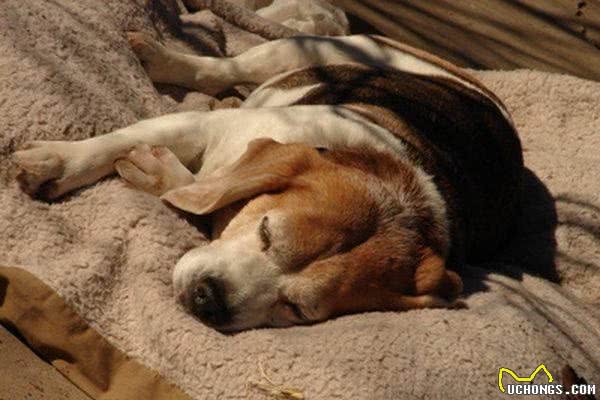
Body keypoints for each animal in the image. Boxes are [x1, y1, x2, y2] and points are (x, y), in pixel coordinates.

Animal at [11, 32, 524, 332]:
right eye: (266, 232)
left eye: (297, 310)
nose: (208, 302)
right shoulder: (203, 127)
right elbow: (117, 142)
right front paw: (57, 163)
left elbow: (187, 185)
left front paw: (159, 174)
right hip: (305, 48)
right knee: (224, 69)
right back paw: (161, 59)